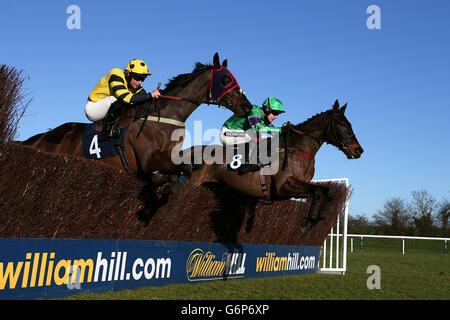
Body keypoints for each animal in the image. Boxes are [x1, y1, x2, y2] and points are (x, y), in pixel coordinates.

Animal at [22, 52, 253, 190]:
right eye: (226, 79)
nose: (247, 107)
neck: (163, 119)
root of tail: (43, 136)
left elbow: (187, 165)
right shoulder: (148, 159)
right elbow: (181, 168)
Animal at [182, 99, 362, 234]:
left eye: (349, 123)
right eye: (342, 124)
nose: (358, 150)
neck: (297, 149)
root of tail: (187, 150)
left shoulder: (300, 186)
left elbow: (327, 190)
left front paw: (317, 218)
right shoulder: (283, 186)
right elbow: (318, 191)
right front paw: (309, 221)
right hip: (194, 182)